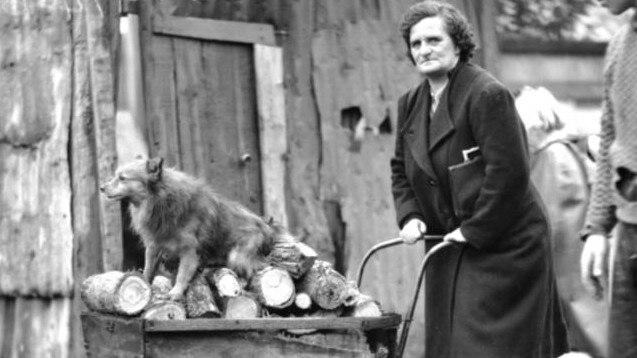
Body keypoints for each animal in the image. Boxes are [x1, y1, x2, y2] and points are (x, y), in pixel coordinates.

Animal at [100, 157, 294, 300]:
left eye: (122, 178)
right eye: (116, 176)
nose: (101, 187)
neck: (161, 201)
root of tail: (267, 228)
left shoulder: (189, 252)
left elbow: (182, 275)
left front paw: (175, 293)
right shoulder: (153, 247)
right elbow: (148, 270)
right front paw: (144, 286)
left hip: (236, 256)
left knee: (254, 272)